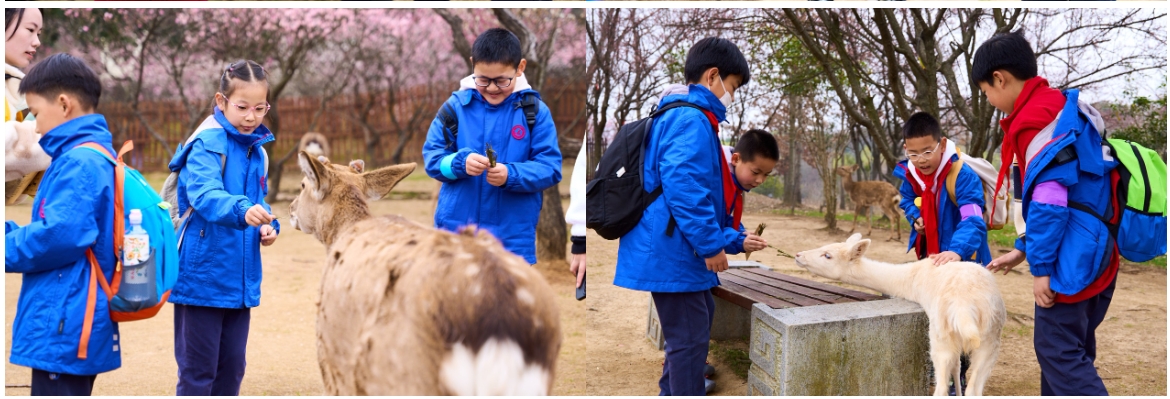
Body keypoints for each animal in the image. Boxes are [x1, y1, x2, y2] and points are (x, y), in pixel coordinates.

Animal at [795, 232, 1006, 395]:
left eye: (827, 255)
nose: (798, 255)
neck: (910, 281)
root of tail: (965, 307)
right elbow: (958, 367)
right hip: (989, 338)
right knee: (974, 388)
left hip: (940, 333)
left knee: (941, 386)